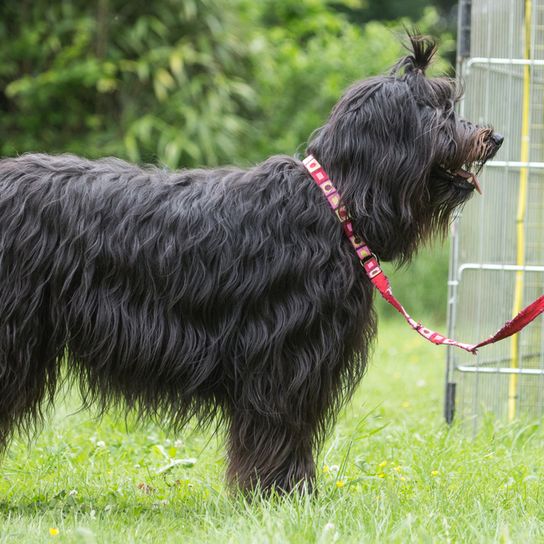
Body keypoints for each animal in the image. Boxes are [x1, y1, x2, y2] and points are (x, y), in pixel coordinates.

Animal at [0, 34, 502, 492]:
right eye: (438, 113)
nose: (494, 136)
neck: (333, 202)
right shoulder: (285, 355)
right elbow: (279, 426)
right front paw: (282, 491)